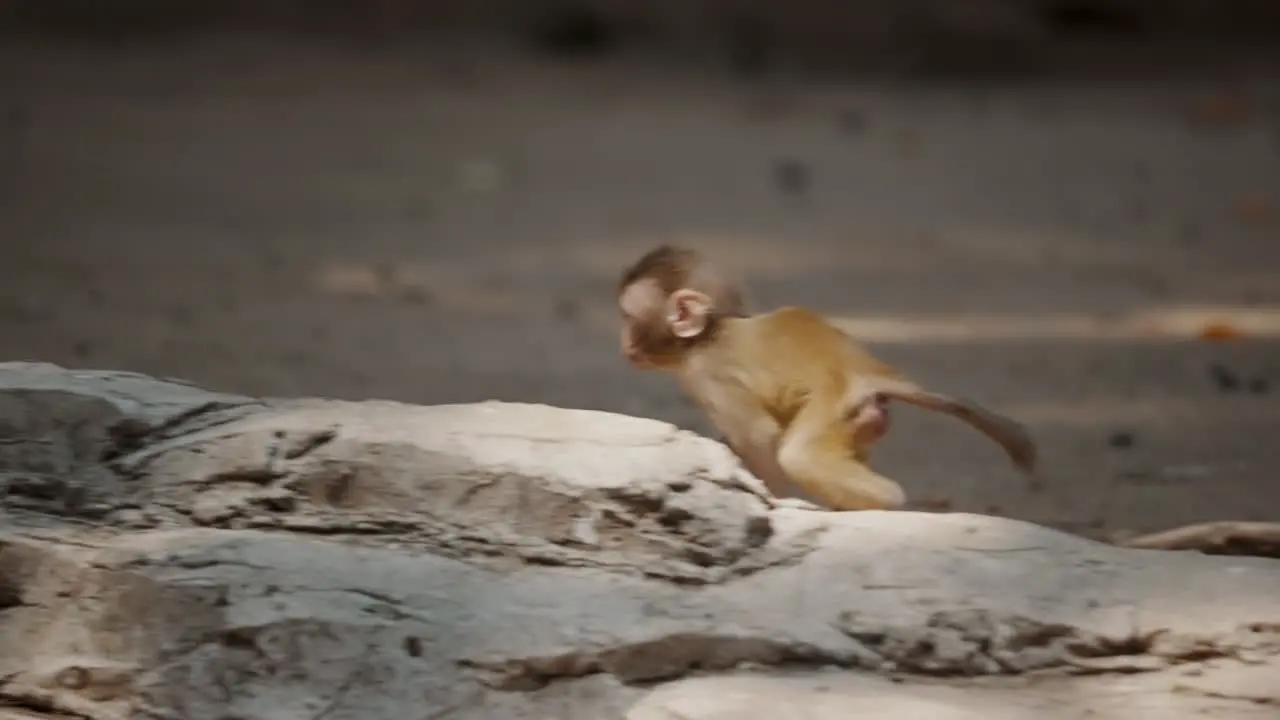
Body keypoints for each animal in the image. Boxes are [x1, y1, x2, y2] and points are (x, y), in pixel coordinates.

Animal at [619, 245, 1039, 509]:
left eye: (627, 317)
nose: (622, 341)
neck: (708, 335)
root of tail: (869, 373)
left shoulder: (708, 377)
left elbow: (760, 438)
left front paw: (772, 498)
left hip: (834, 407)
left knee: (798, 455)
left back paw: (888, 501)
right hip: (863, 419)